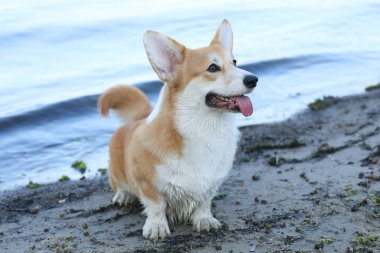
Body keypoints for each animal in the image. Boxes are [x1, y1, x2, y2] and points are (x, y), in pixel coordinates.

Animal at [98, 20, 258, 241]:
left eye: (234, 62)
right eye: (213, 67)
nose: (254, 79)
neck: (204, 128)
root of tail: (137, 119)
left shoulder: (212, 184)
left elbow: (204, 203)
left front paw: (204, 220)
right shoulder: (147, 183)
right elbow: (156, 206)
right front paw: (156, 227)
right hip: (116, 170)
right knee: (120, 184)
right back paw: (123, 195)